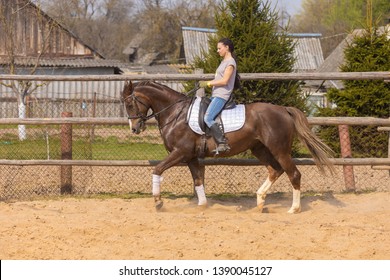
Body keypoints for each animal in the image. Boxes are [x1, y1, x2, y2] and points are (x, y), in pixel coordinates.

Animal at [121, 80, 332, 213]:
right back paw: (260, 201)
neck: (176, 113)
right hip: (260, 149)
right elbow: (198, 180)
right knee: (275, 170)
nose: (134, 128)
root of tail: (283, 110)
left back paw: (293, 208)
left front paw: (158, 202)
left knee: (293, 174)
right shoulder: (191, 157)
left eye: (130, 103)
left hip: (279, 150)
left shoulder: (180, 153)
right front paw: (202, 206)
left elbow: (157, 169)